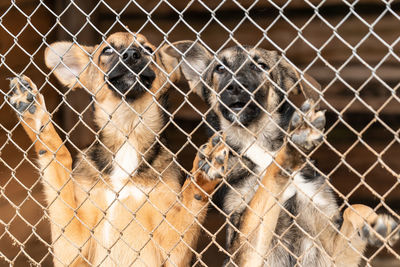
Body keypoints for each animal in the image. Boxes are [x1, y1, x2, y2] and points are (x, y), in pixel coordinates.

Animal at [7, 31, 223, 267]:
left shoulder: (174, 251)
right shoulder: (71, 248)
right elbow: (58, 161)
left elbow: (191, 203)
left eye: (148, 50)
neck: (127, 131)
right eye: (107, 50)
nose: (131, 55)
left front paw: (205, 170)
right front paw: (33, 112)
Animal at [165, 43, 400, 266]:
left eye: (260, 65)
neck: (256, 139)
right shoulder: (245, 250)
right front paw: (290, 145)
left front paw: (376, 226)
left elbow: (358, 208)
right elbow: (268, 183)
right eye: (220, 68)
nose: (235, 86)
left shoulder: (330, 250)